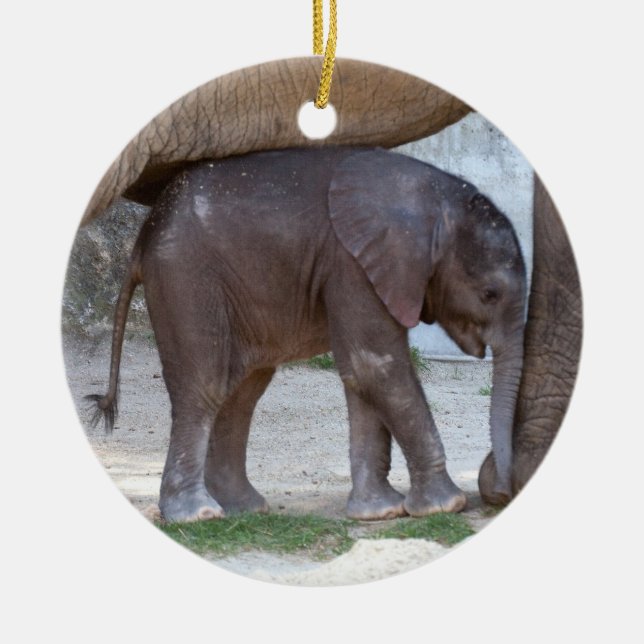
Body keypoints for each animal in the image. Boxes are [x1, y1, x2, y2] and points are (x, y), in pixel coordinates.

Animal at [77, 57, 581, 522]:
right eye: (490, 294)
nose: (497, 484)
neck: (430, 195)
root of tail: (142, 238)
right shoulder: (352, 264)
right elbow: (376, 366)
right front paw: (445, 506)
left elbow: (362, 377)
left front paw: (380, 513)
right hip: (186, 274)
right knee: (207, 383)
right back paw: (198, 514)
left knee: (244, 388)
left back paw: (245, 509)